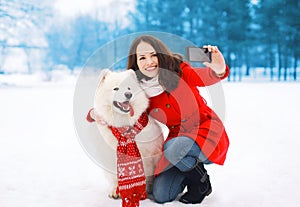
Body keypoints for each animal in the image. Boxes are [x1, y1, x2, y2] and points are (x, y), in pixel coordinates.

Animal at [92, 68, 164, 198]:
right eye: (116, 88)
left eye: (129, 88)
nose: (128, 95)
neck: (123, 123)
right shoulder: (110, 155)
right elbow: (114, 175)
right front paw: (115, 191)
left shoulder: (145, 155)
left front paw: (140, 192)